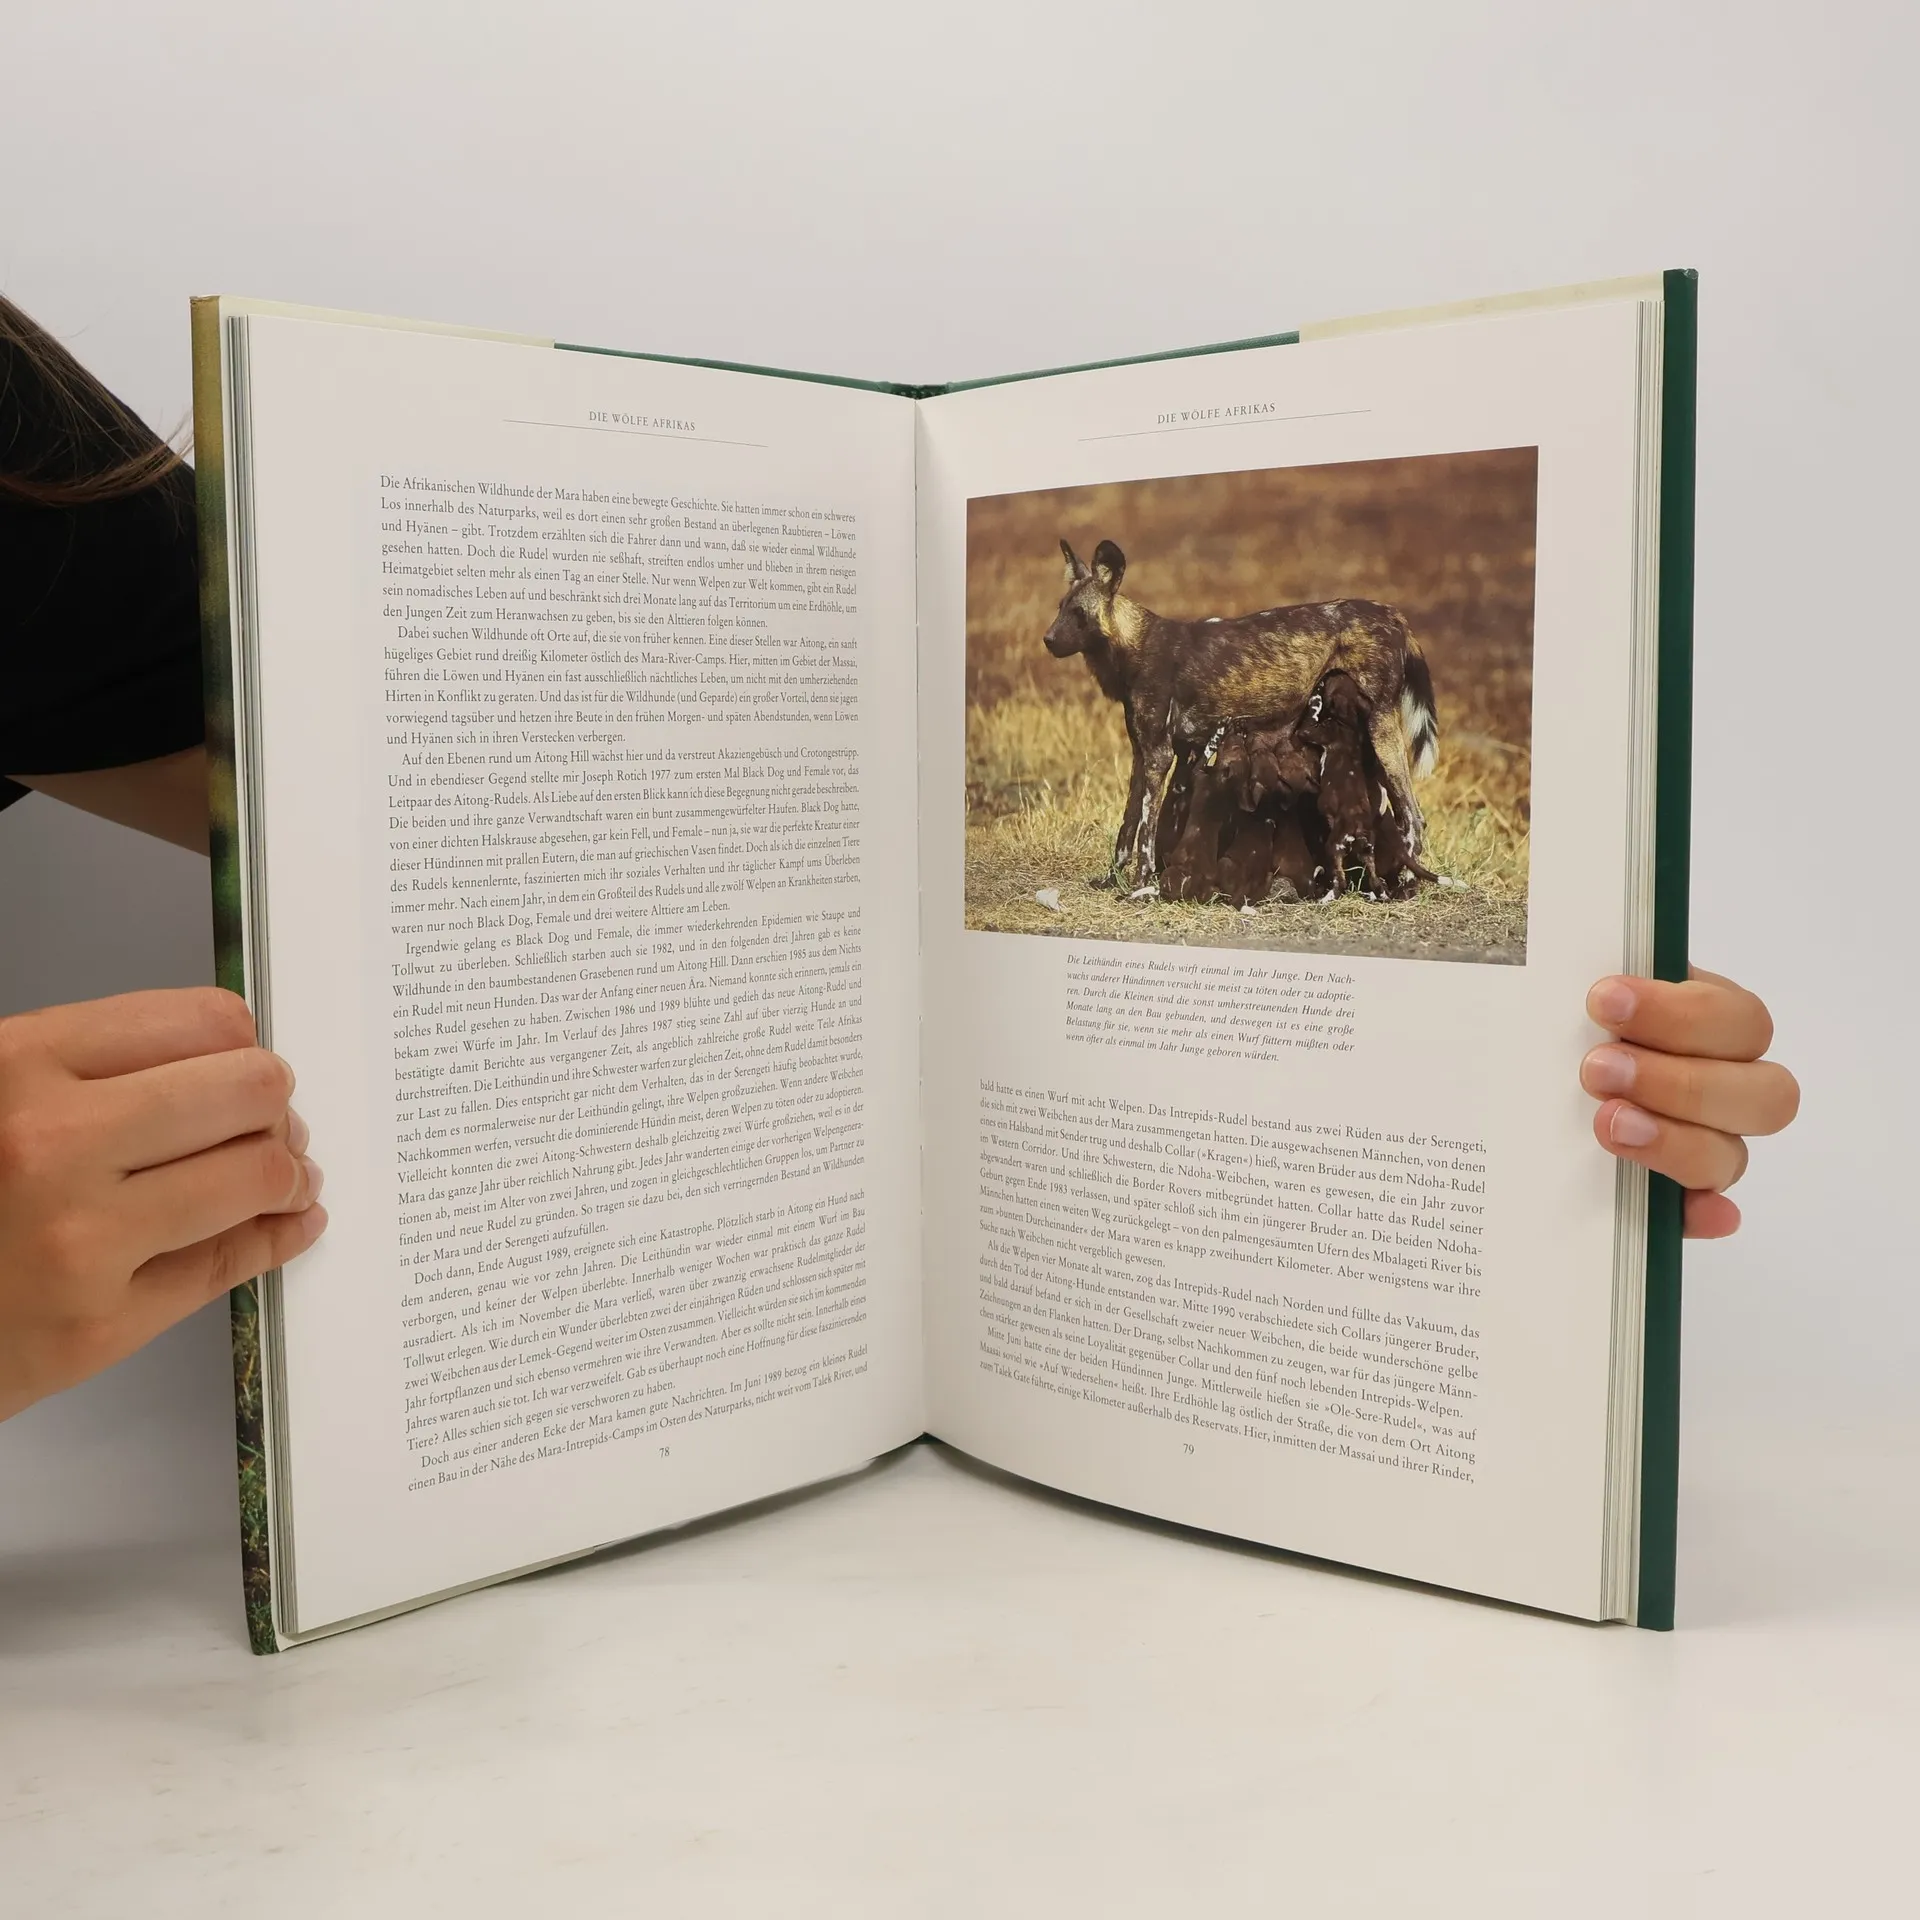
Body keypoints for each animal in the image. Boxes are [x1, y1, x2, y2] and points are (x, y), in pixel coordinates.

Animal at [1043, 539, 1439, 893]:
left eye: (1079, 615)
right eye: (1060, 608)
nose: (1047, 639)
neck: (1132, 646)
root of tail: (1392, 613)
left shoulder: (1158, 756)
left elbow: (1145, 834)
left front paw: (1141, 884)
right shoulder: (1142, 755)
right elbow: (1127, 830)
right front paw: (1111, 881)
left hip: (1381, 732)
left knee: (1413, 818)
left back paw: (1406, 884)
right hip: (1372, 742)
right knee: (1408, 816)